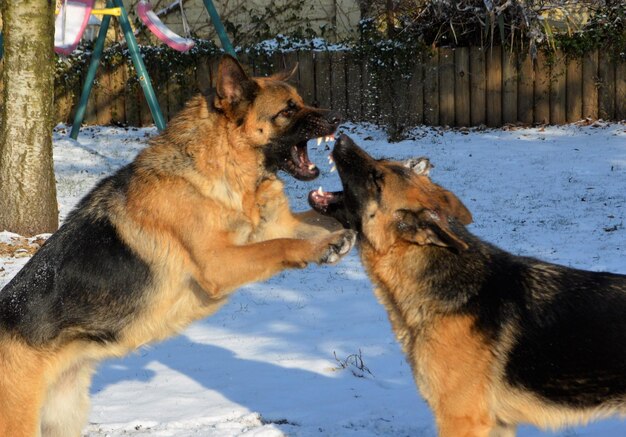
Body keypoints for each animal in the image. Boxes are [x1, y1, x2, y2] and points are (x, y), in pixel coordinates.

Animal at [0, 55, 354, 436]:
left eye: (301, 101)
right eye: (288, 109)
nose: (337, 117)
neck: (223, 164)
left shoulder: (277, 226)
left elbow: (311, 224)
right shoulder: (220, 263)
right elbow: (279, 247)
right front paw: (325, 245)